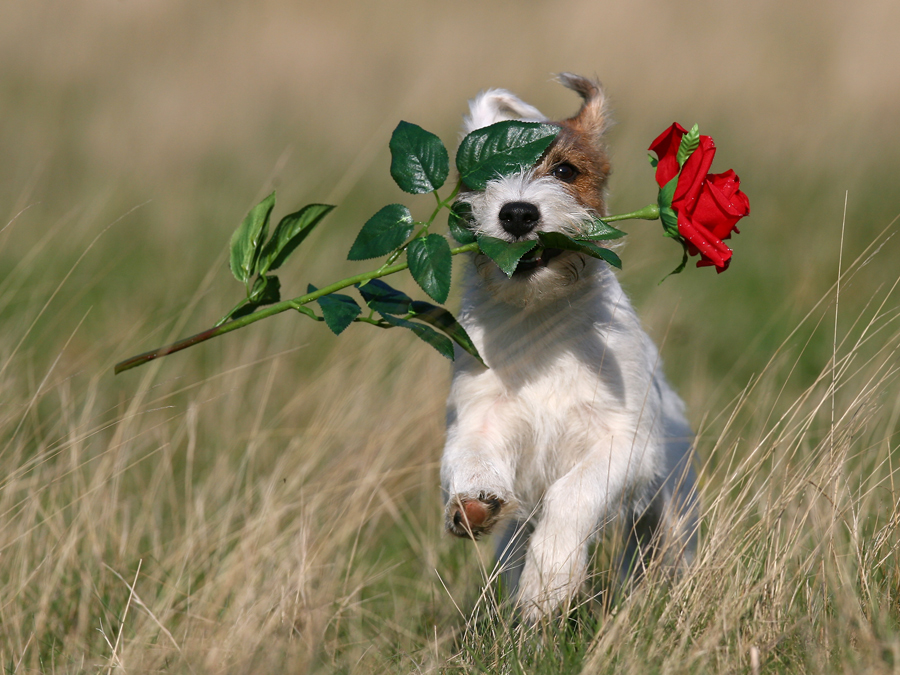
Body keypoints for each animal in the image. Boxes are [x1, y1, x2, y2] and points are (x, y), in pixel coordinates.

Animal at [442, 74, 704, 624]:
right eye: (481, 176)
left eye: (565, 171)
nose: (518, 213)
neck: (541, 315)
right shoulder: (480, 416)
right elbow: (471, 456)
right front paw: (475, 503)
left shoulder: (622, 443)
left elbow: (572, 494)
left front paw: (549, 584)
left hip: (671, 514)